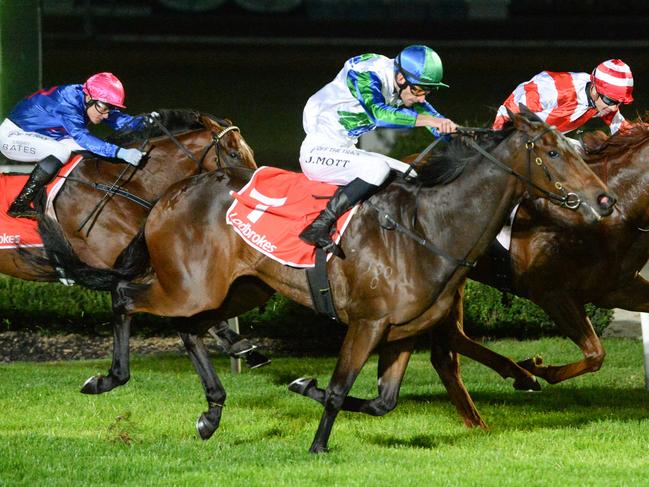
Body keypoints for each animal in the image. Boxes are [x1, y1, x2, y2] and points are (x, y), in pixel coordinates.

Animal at [33, 108, 616, 452]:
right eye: (554, 152)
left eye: (577, 148)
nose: (605, 199)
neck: (432, 226)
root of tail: (169, 195)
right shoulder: (366, 322)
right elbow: (339, 390)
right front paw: (317, 444)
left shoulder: (401, 332)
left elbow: (381, 402)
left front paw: (302, 385)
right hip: (187, 286)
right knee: (125, 296)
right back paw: (108, 378)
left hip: (239, 288)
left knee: (190, 329)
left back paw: (212, 412)